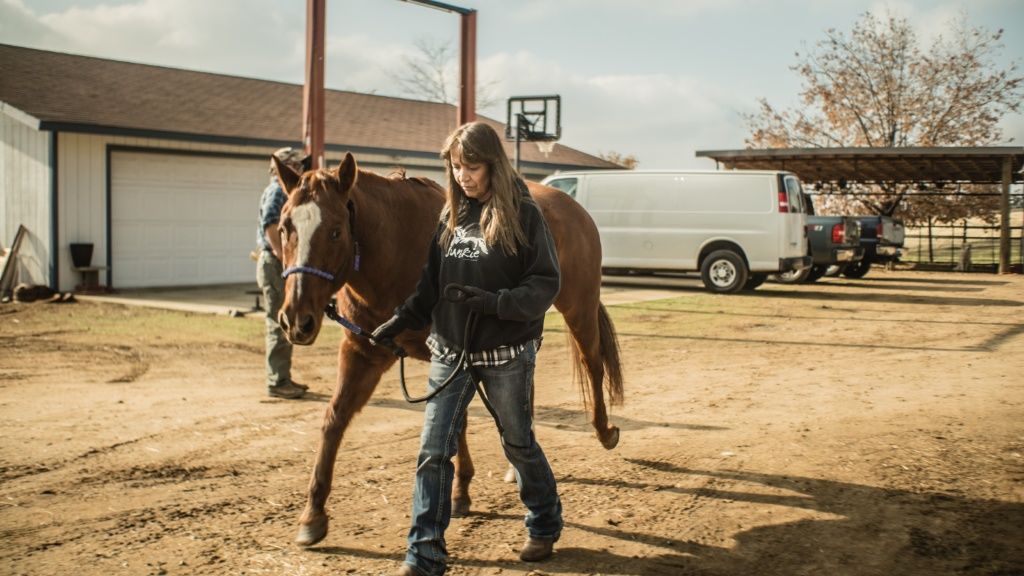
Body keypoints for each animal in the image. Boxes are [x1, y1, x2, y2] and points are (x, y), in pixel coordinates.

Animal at [272, 150, 622, 545]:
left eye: (334, 230)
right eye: (284, 227)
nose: (296, 320)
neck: (397, 248)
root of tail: (572, 205)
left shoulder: (454, 350)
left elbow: (460, 421)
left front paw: (459, 490)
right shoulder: (364, 351)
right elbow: (335, 419)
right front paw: (313, 514)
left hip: (578, 307)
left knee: (592, 363)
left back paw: (604, 431)